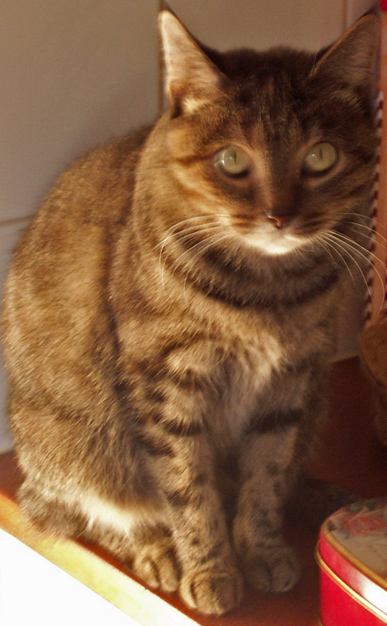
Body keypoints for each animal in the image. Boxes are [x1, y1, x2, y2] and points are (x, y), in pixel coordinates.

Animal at [1, 8, 380, 616]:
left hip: (316, 400)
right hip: (76, 449)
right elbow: (188, 490)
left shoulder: (290, 382)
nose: (279, 217)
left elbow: (266, 477)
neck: (266, 290)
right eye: (232, 160)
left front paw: (261, 549)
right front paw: (211, 569)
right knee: (69, 513)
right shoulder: (167, 385)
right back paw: (155, 551)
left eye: (321, 157)